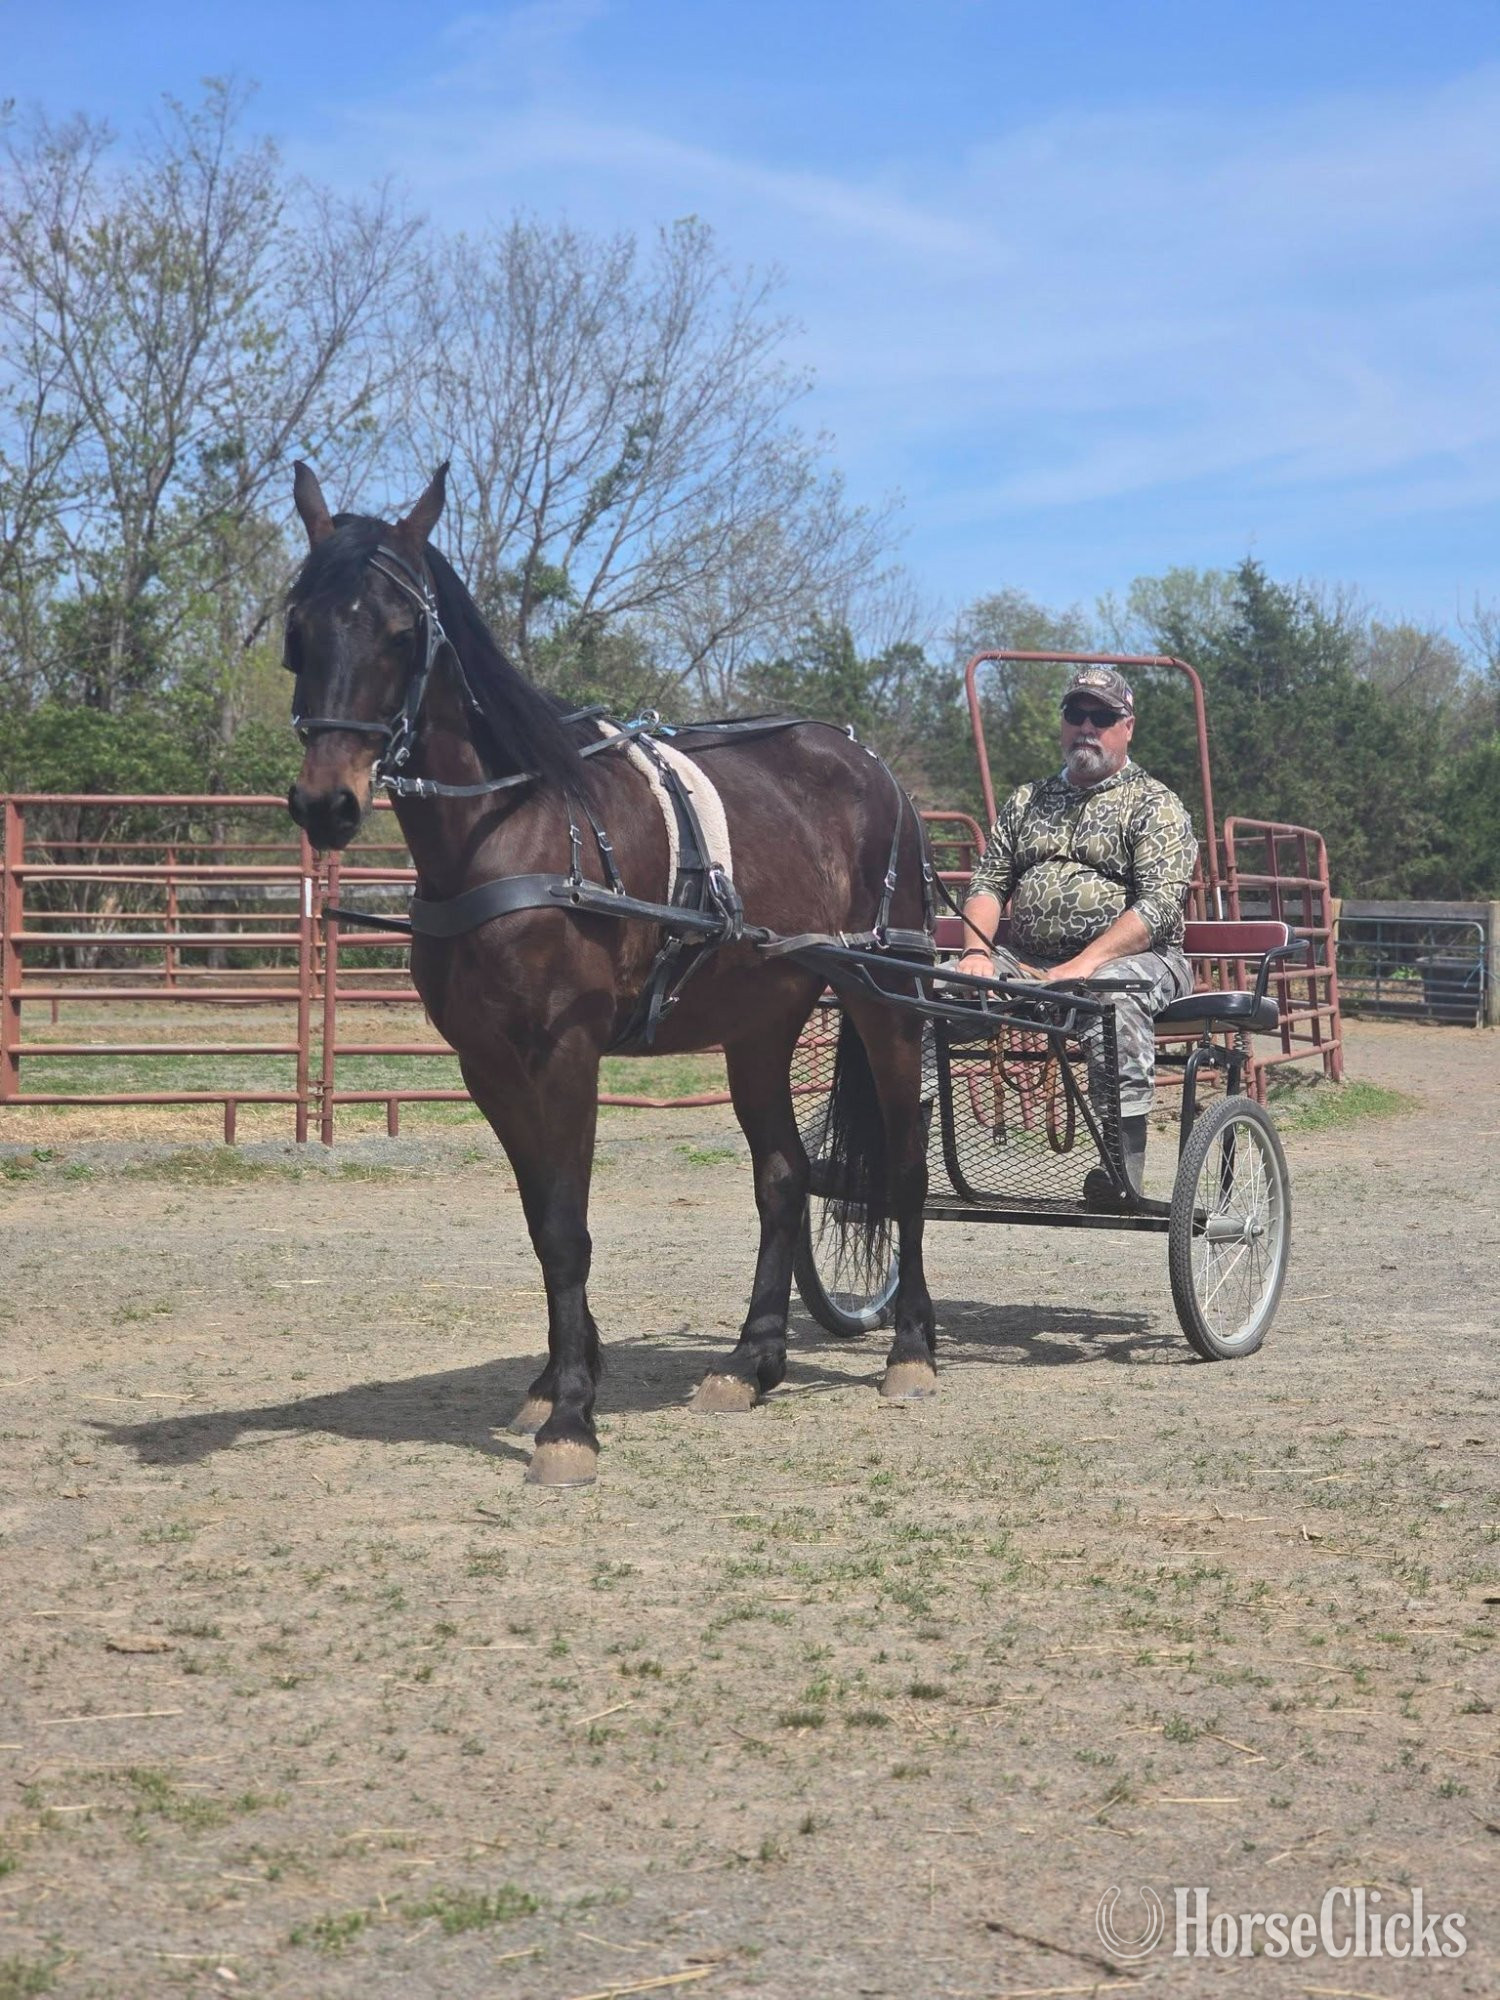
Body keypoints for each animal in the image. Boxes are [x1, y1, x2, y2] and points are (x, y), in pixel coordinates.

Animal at [283, 462, 936, 1486]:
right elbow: (539, 1216)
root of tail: (873, 767)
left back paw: (910, 1351)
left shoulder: (567, 1051)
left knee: (905, 1163)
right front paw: (559, 1379)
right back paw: (751, 1361)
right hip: (760, 1025)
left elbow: (566, 1225)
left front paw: (572, 1422)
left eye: (398, 634)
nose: (326, 804)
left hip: (885, 997)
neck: (508, 826)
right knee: (784, 1177)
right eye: (299, 631)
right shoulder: (487, 1061)